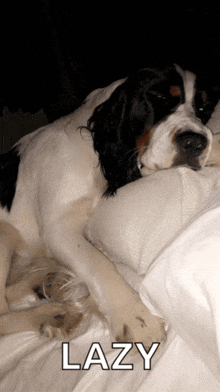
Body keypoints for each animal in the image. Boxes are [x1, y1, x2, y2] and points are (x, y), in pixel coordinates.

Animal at [0, 64, 219, 346]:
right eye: (158, 98)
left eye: (203, 108)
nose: (195, 142)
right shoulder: (59, 228)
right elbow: (98, 263)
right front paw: (135, 317)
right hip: (3, 238)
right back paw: (55, 313)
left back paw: (45, 283)